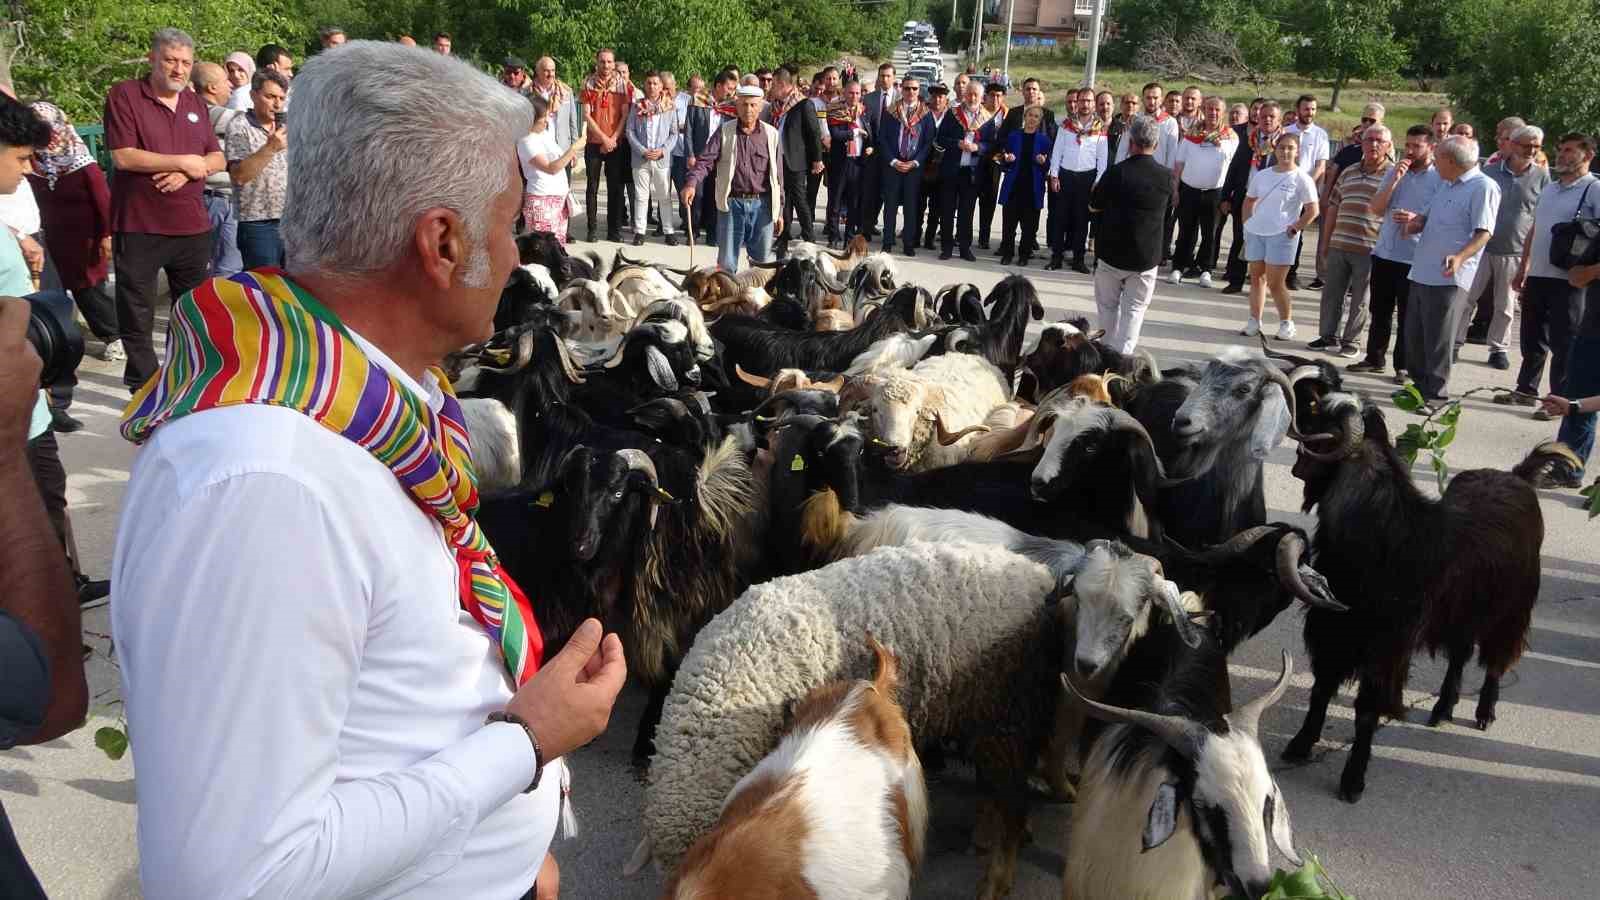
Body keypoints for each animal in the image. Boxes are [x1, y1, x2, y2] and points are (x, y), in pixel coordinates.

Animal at [1280, 390, 1568, 797]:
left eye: (1319, 430)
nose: (1294, 461)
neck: (1384, 535)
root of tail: (1518, 477)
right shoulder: (1334, 632)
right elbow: (1320, 690)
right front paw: (1300, 745)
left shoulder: (1385, 647)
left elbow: (1366, 710)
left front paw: (1353, 780)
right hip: (1462, 615)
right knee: (1459, 657)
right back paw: (1442, 709)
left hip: (1511, 608)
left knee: (1497, 659)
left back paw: (1484, 713)